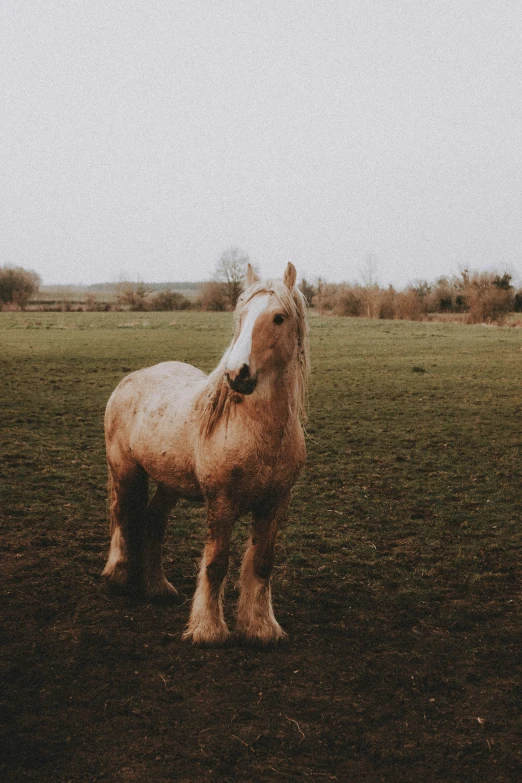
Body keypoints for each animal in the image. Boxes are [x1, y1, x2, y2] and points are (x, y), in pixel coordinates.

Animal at [101, 264, 308, 644]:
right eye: (241, 316)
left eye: (278, 317)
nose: (237, 374)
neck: (255, 429)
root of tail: (132, 379)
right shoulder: (221, 502)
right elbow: (216, 563)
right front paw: (208, 629)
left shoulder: (275, 502)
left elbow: (262, 562)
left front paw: (261, 627)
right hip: (125, 470)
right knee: (122, 515)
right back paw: (118, 577)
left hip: (169, 483)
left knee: (154, 521)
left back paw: (158, 587)